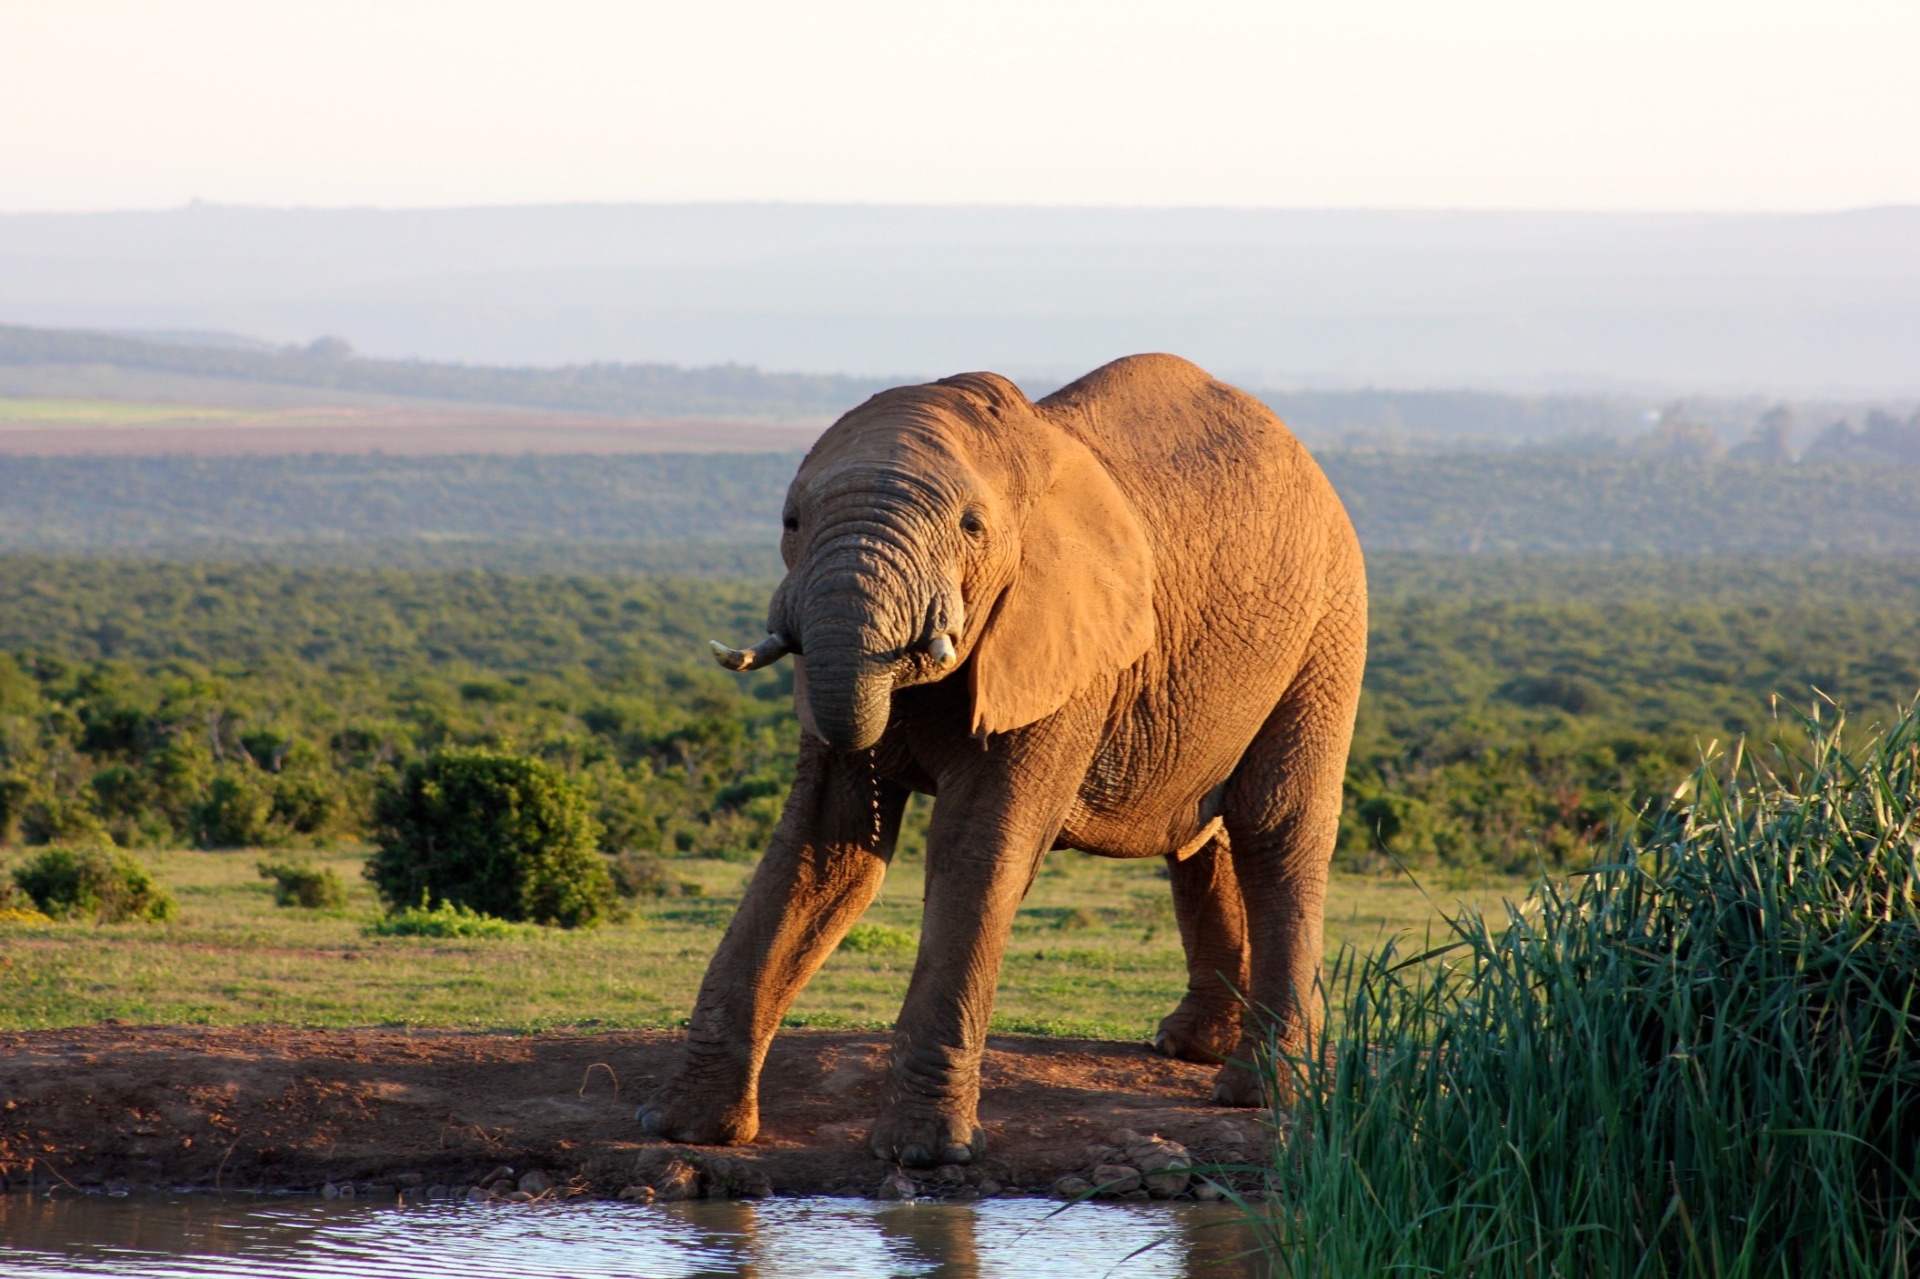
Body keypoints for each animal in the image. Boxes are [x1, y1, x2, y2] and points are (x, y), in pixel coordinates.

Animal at [637, 353, 1367, 1167]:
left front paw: (924, 1152)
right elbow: (823, 850)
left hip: (1329, 624)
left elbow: (978, 845)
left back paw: (1259, 1092)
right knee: (1199, 839)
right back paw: (1189, 1047)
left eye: (971, 527)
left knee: (1276, 825)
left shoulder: (1066, 648)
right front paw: (689, 1128)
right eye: (792, 521)